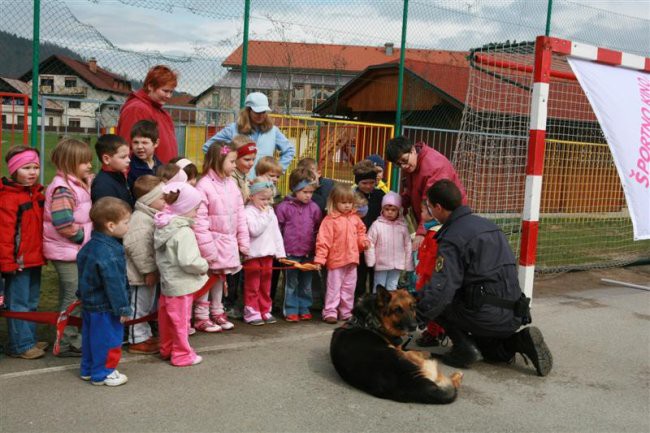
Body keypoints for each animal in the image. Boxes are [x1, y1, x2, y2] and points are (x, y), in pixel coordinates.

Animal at [330, 286, 460, 404]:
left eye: (412, 307)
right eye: (397, 310)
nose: (414, 326)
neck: (369, 319)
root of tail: (422, 387)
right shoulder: (400, 349)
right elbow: (411, 350)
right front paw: (424, 352)